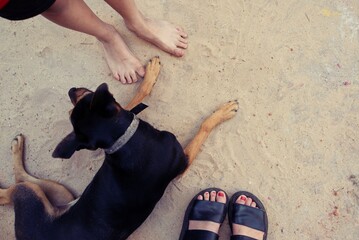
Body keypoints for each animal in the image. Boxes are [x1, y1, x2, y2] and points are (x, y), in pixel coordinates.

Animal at [1, 57, 240, 239]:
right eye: (87, 96)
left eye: (81, 99)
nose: (70, 89)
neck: (123, 139)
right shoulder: (182, 160)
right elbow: (204, 126)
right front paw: (223, 112)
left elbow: (135, 99)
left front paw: (150, 74)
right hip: (29, 197)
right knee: (10, 193)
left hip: (60, 193)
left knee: (24, 179)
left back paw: (17, 147)